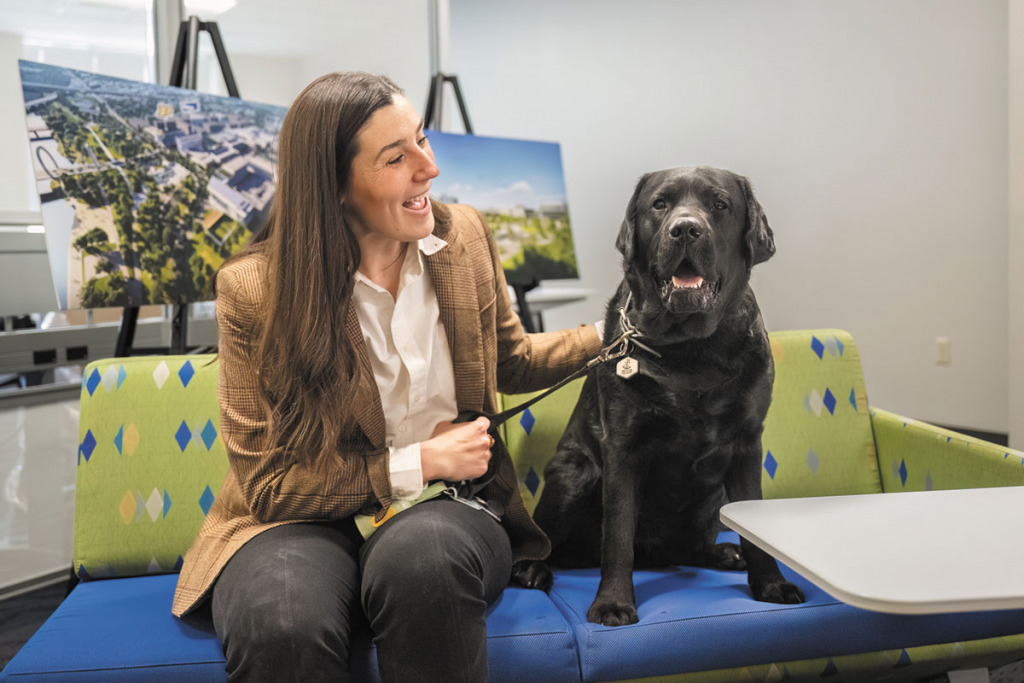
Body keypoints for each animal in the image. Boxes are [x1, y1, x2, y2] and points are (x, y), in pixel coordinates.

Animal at [512, 165, 806, 626]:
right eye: (660, 204)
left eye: (720, 204)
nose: (685, 229)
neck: (690, 347)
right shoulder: (623, 448)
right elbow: (617, 537)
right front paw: (612, 603)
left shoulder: (746, 444)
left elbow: (753, 523)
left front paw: (771, 585)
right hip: (575, 473)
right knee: (552, 543)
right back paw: (532, 569)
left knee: (695, 546)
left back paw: (724, 553)